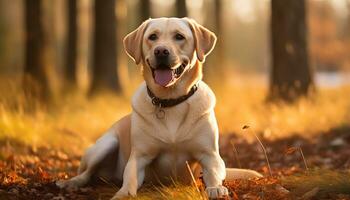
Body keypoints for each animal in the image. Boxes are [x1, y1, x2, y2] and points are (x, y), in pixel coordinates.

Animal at [56, 18, 260, 199]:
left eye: (179, 36)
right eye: (152, 37)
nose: (161, 51)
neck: (170, 100)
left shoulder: (210, 156)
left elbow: (214, 174)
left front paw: (216, 188)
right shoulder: (139, 157)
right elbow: (130, 177)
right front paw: (123, 194)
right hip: (105, 144)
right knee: (87, 173)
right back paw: (70, 182)